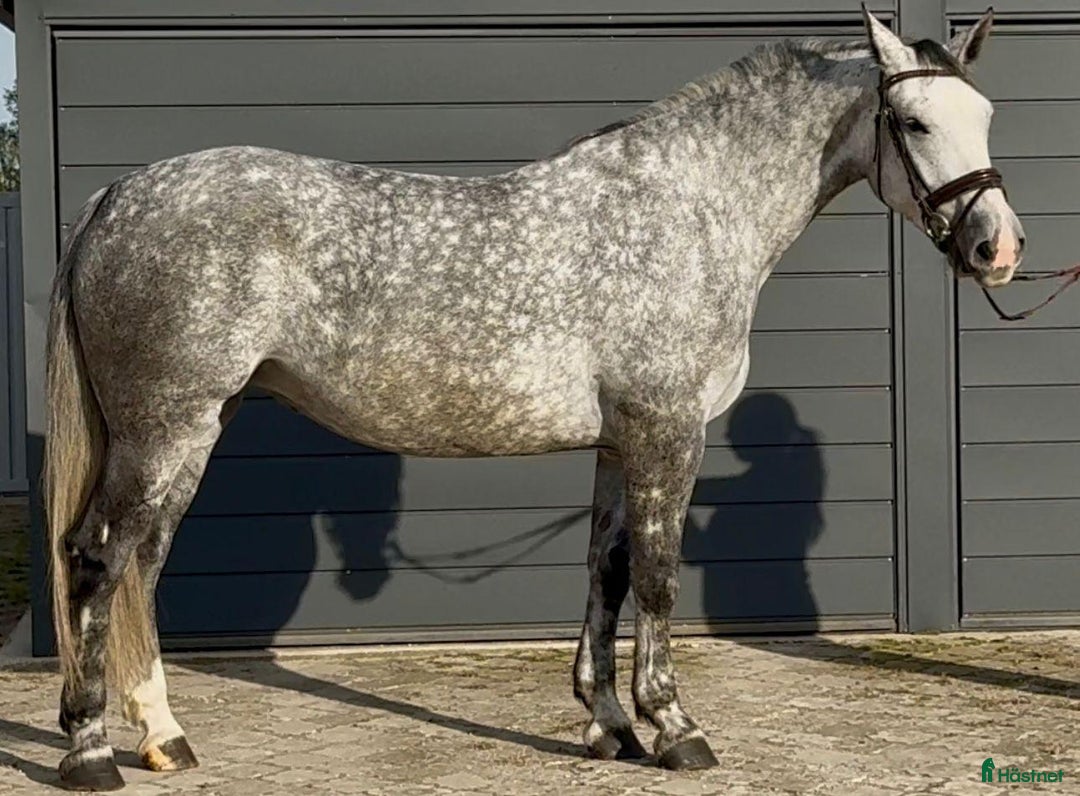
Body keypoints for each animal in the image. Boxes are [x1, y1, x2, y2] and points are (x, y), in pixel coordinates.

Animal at [44, 8, 1023, 790]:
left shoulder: (619, 443)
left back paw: (165, 736)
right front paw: (676, 729)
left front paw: (610, 725)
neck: (691, 212)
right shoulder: (668, 433)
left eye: (984, 116)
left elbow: (607, 572)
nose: (998, 247)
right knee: (96, 559)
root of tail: (118, 196)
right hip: (164, 429)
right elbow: (660, 579)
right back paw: (90, 752)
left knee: (141, 567)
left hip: (193, 428)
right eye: (912, 120)